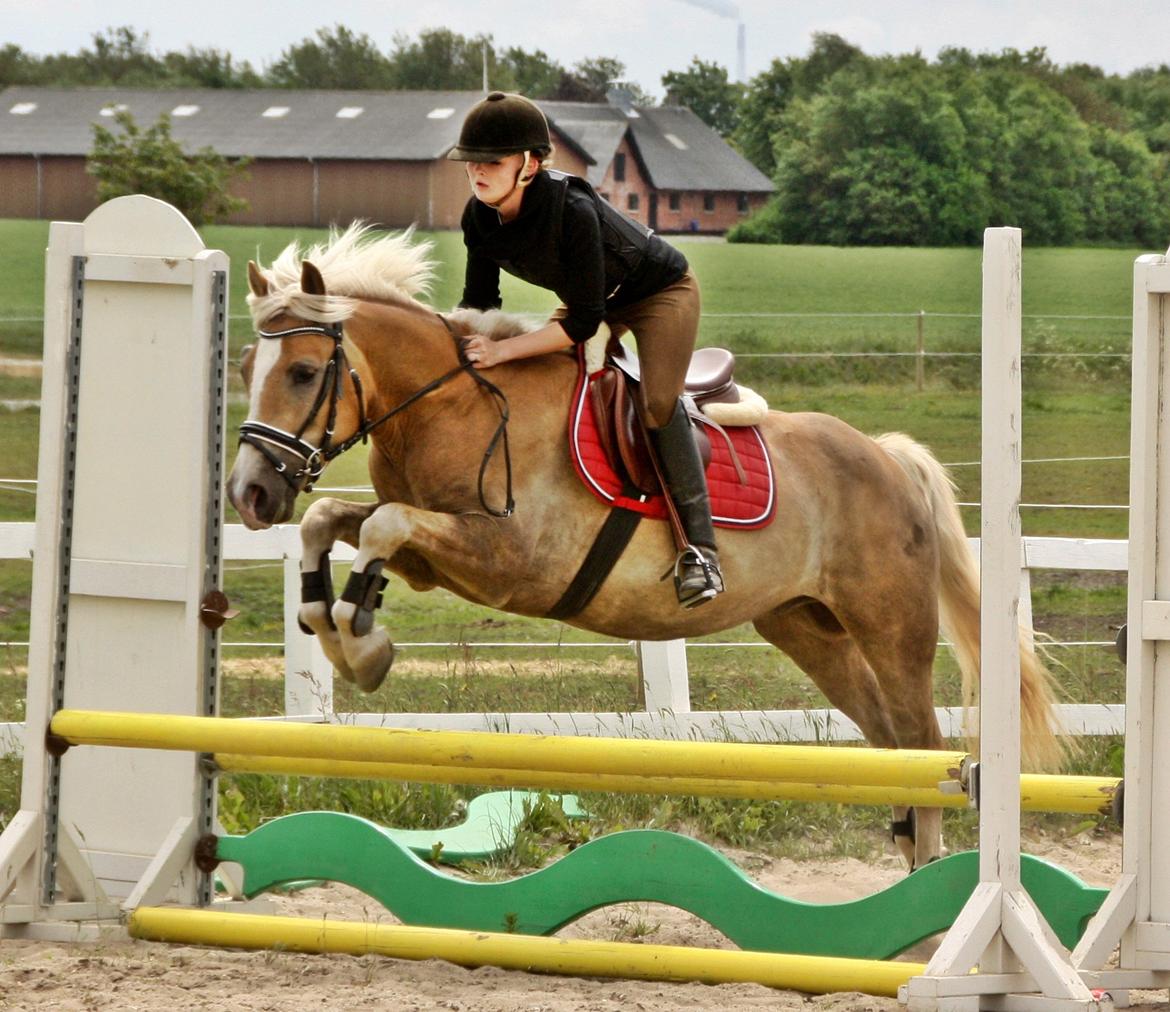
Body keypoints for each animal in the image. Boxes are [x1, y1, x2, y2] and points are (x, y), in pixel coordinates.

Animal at [225, 223, 1062, 870]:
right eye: (243, 368)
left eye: (304, 371)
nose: (248, 495)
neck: (454, 404)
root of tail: (887, 456)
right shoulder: (434, 556)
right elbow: (333, 521)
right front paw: (333, 628)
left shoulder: (507, 562)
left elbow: (380, 526)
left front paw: (362, 645)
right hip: (805, 628)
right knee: (891, 748)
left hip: (891, 628)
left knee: (925, 746)